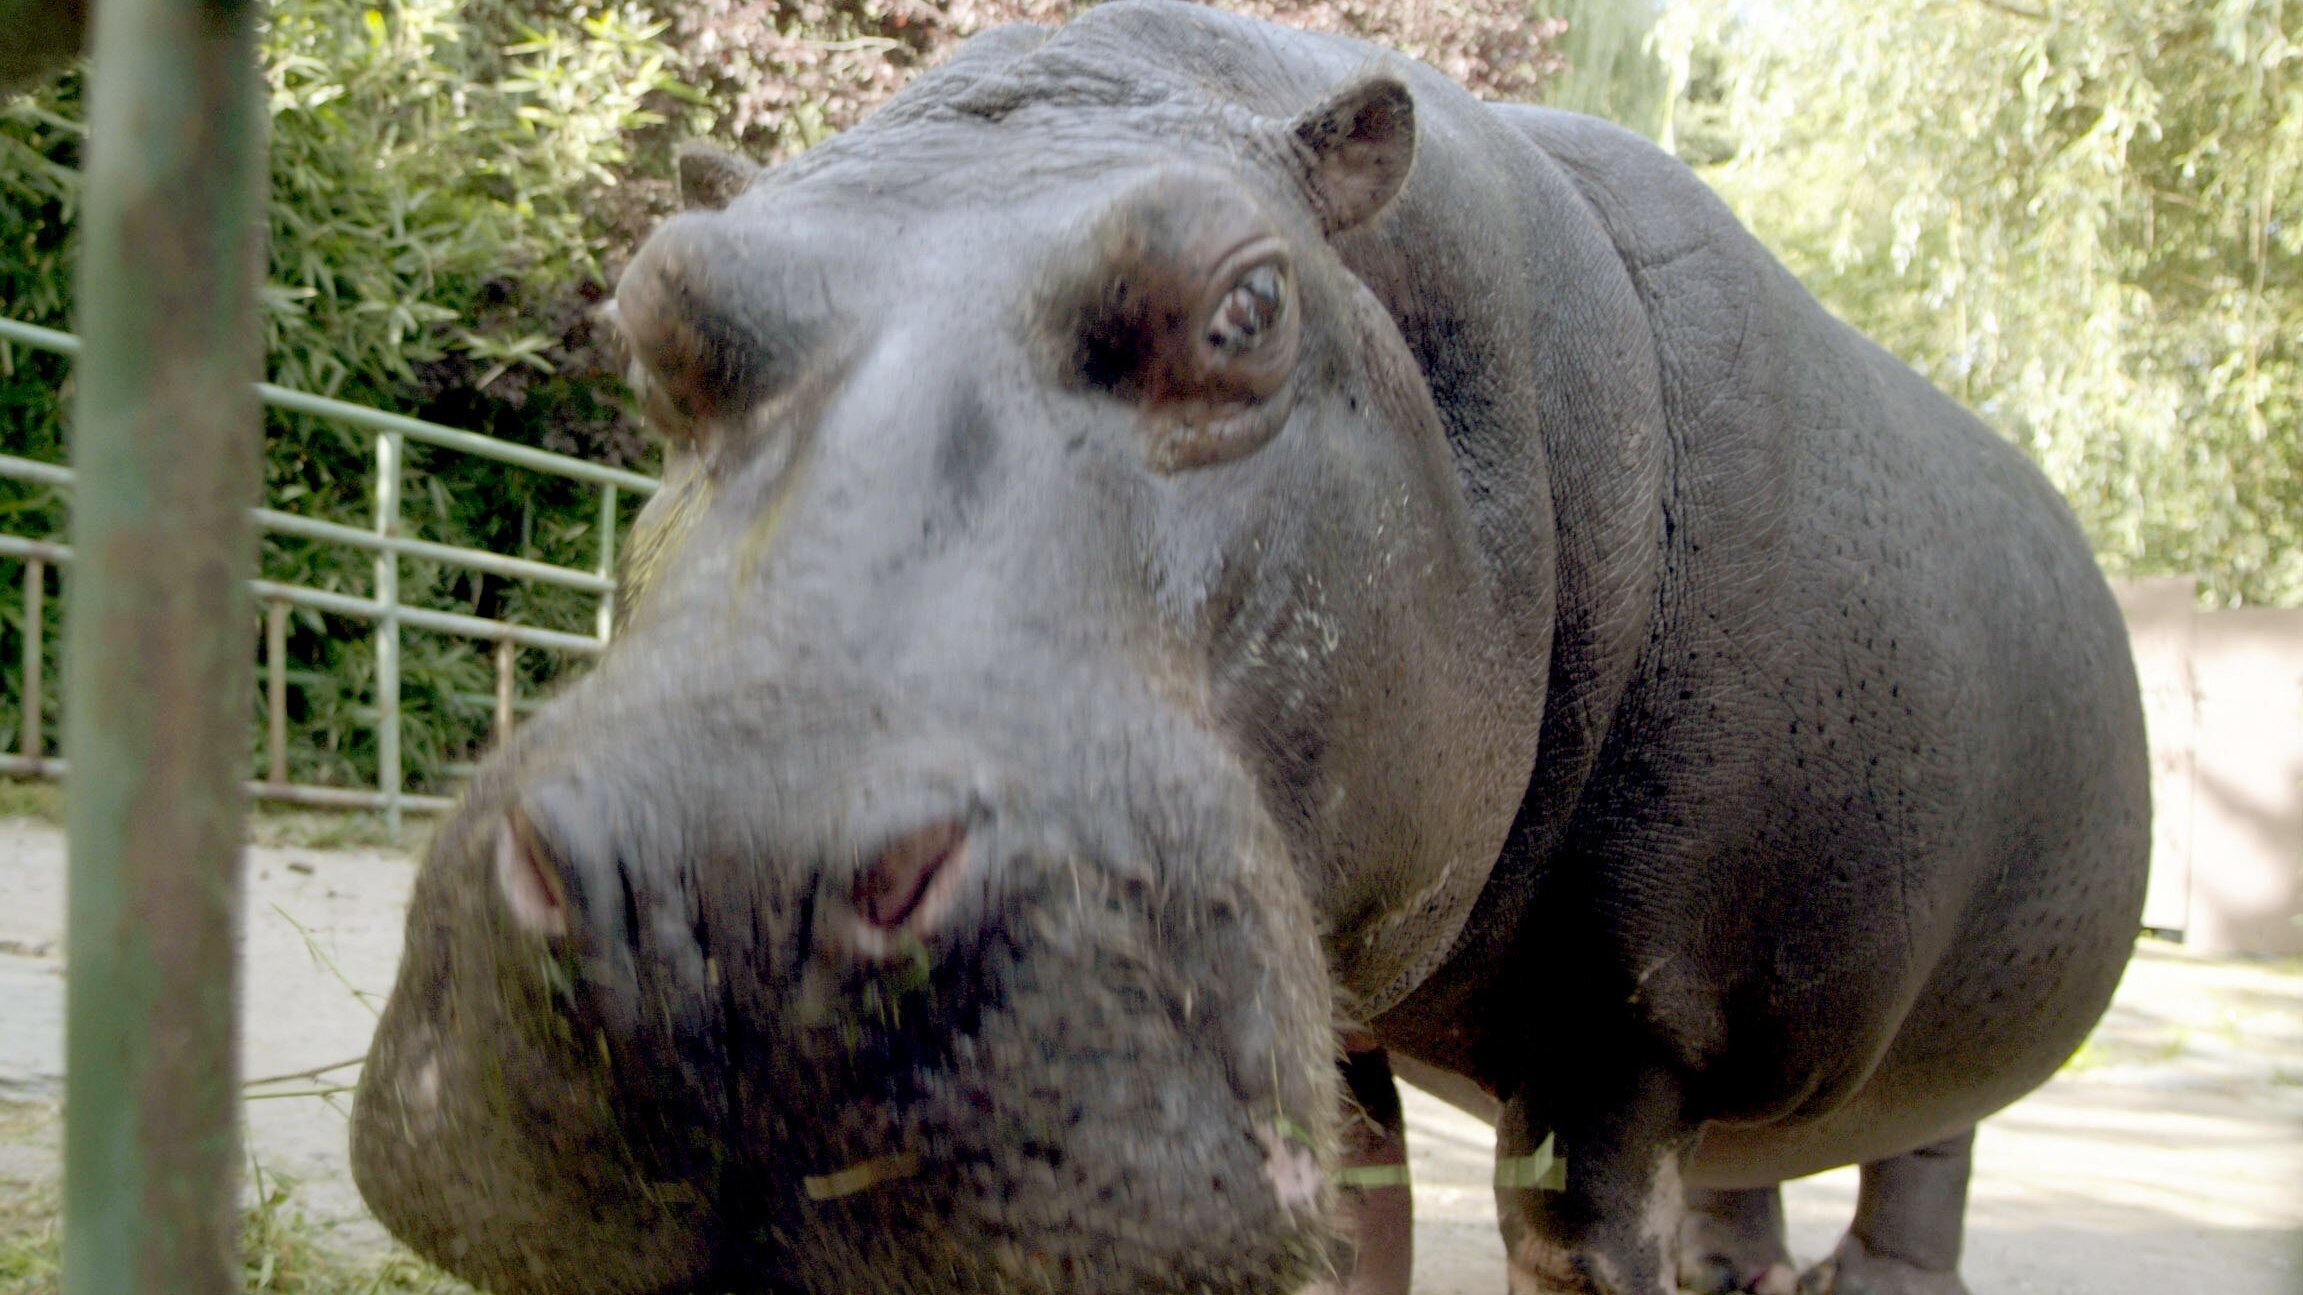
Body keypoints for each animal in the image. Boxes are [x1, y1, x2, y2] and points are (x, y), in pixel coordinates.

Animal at [348, 5, 2151, 1294]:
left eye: (1248, 305)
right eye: (650, 310)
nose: (718, 888)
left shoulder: (1622, 1033)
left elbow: (1572, 1242)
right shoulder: (1329, 1024)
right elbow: (1351, 1231)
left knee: (1916, 1169)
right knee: (1749, 1175)